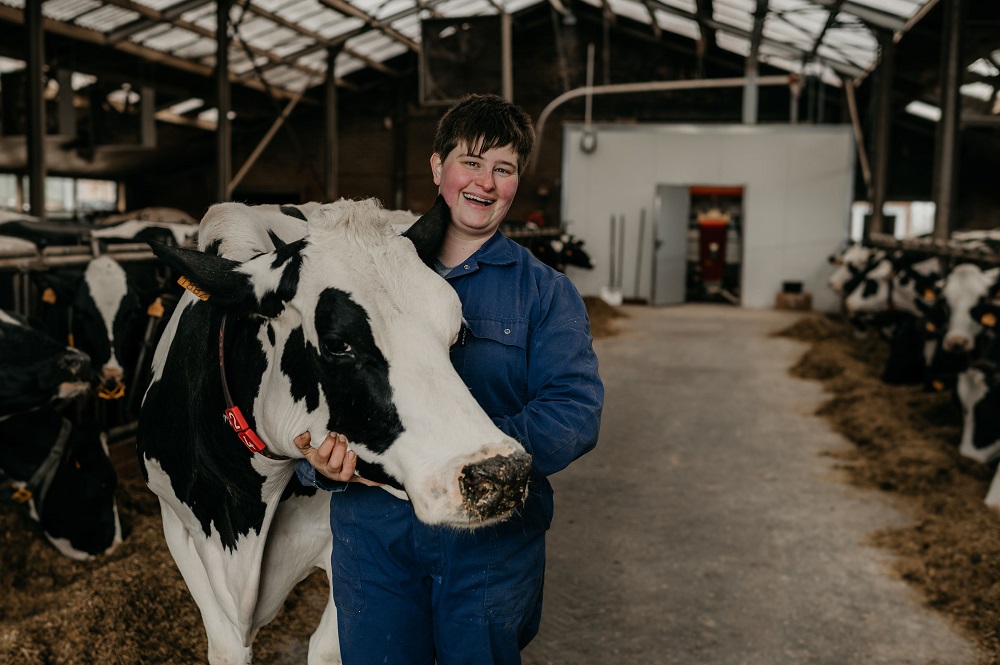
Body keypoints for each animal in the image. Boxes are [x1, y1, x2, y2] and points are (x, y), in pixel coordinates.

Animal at [137, 197, 536, 664]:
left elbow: (330, 648)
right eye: (337, 344)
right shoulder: (175, 524)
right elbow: (226, 648)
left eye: (456, 334)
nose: (502, 473)